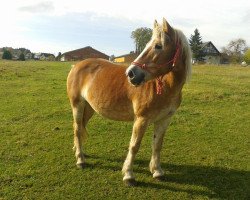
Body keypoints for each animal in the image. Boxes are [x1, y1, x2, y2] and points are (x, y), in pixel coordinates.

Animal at [66, 18, 191, 185]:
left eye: (158, 46)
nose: (131, 74)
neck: (165, 87)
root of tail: (76, 65)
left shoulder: (164, 119)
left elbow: (157, 145)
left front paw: (157, 171)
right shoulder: (141, 119)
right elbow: (134, 146)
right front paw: (128, 175)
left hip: (89, 108)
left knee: (80, 127)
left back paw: (78, 151)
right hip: (77, 105)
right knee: (77, 128)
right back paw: (80, 160)